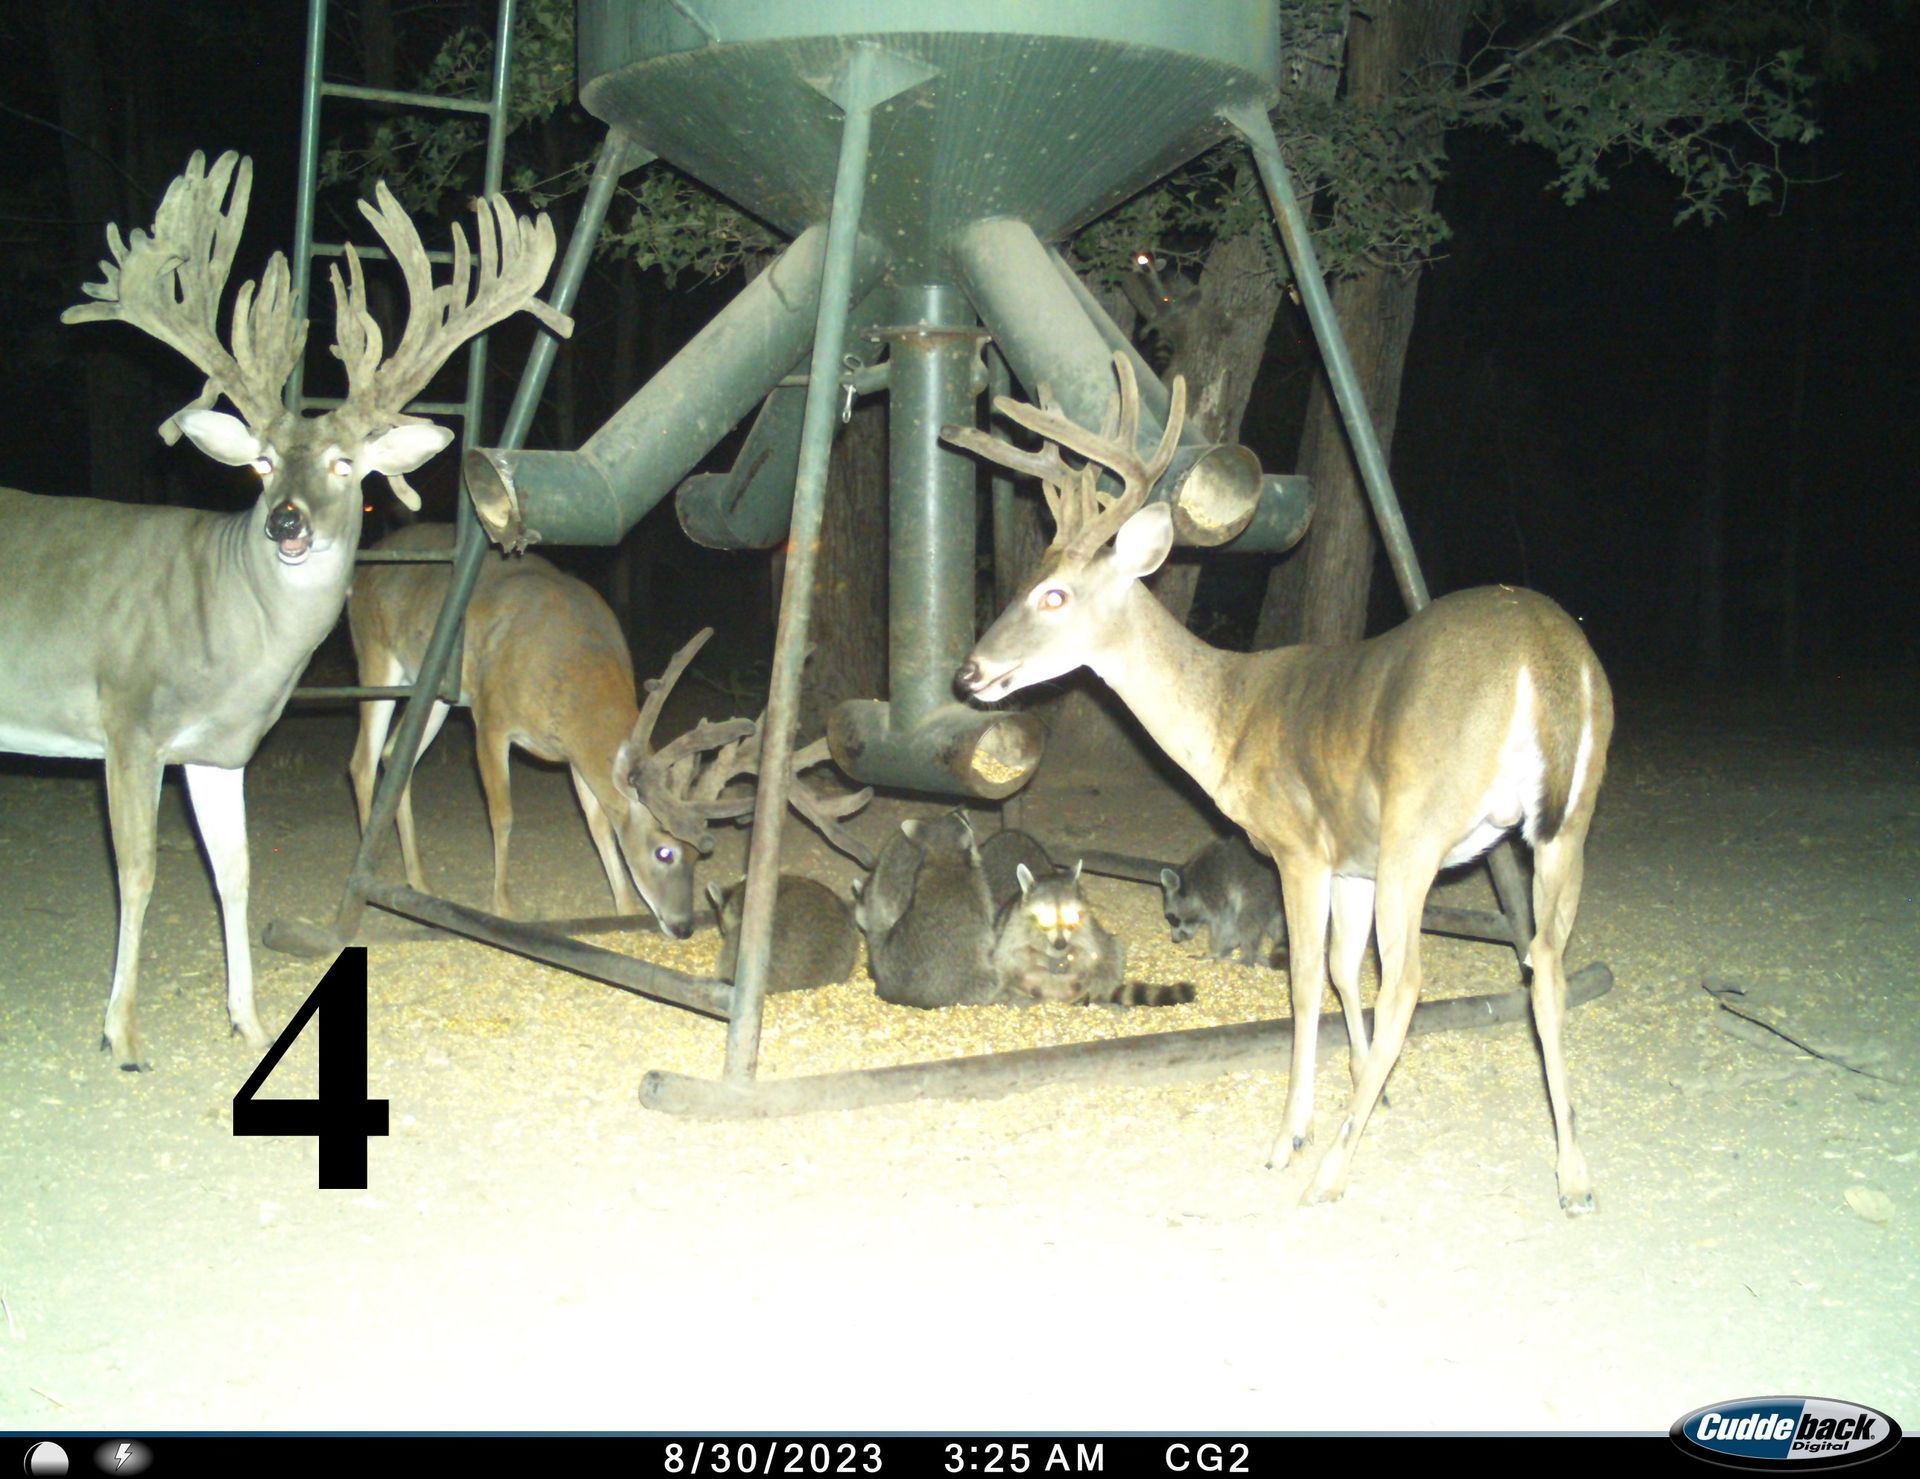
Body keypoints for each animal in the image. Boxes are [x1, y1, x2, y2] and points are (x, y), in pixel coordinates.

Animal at [0, 150, 571, 1069]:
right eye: (262, 463)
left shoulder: (219, 749)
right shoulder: (127, 719)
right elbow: (138, 871)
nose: (286, 523)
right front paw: (121, 1033)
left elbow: (232, 873)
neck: (226, 634)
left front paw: (249, 1018)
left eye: (344, 464)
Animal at [943, 354, 1614, 1214]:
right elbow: (1342, 970)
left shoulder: (1301, 845)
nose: (970, 672)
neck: (1228, 717)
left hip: (1422, 827)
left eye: (1053, 594)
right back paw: (1575, 1175)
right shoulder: (1354, 856)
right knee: (1545, 964)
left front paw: (1296, 1131)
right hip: (1568, 822)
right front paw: (1370, 1090)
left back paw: (1327, 1171)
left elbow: (1303, 980)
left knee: (1413, 979)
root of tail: (1544, 654)